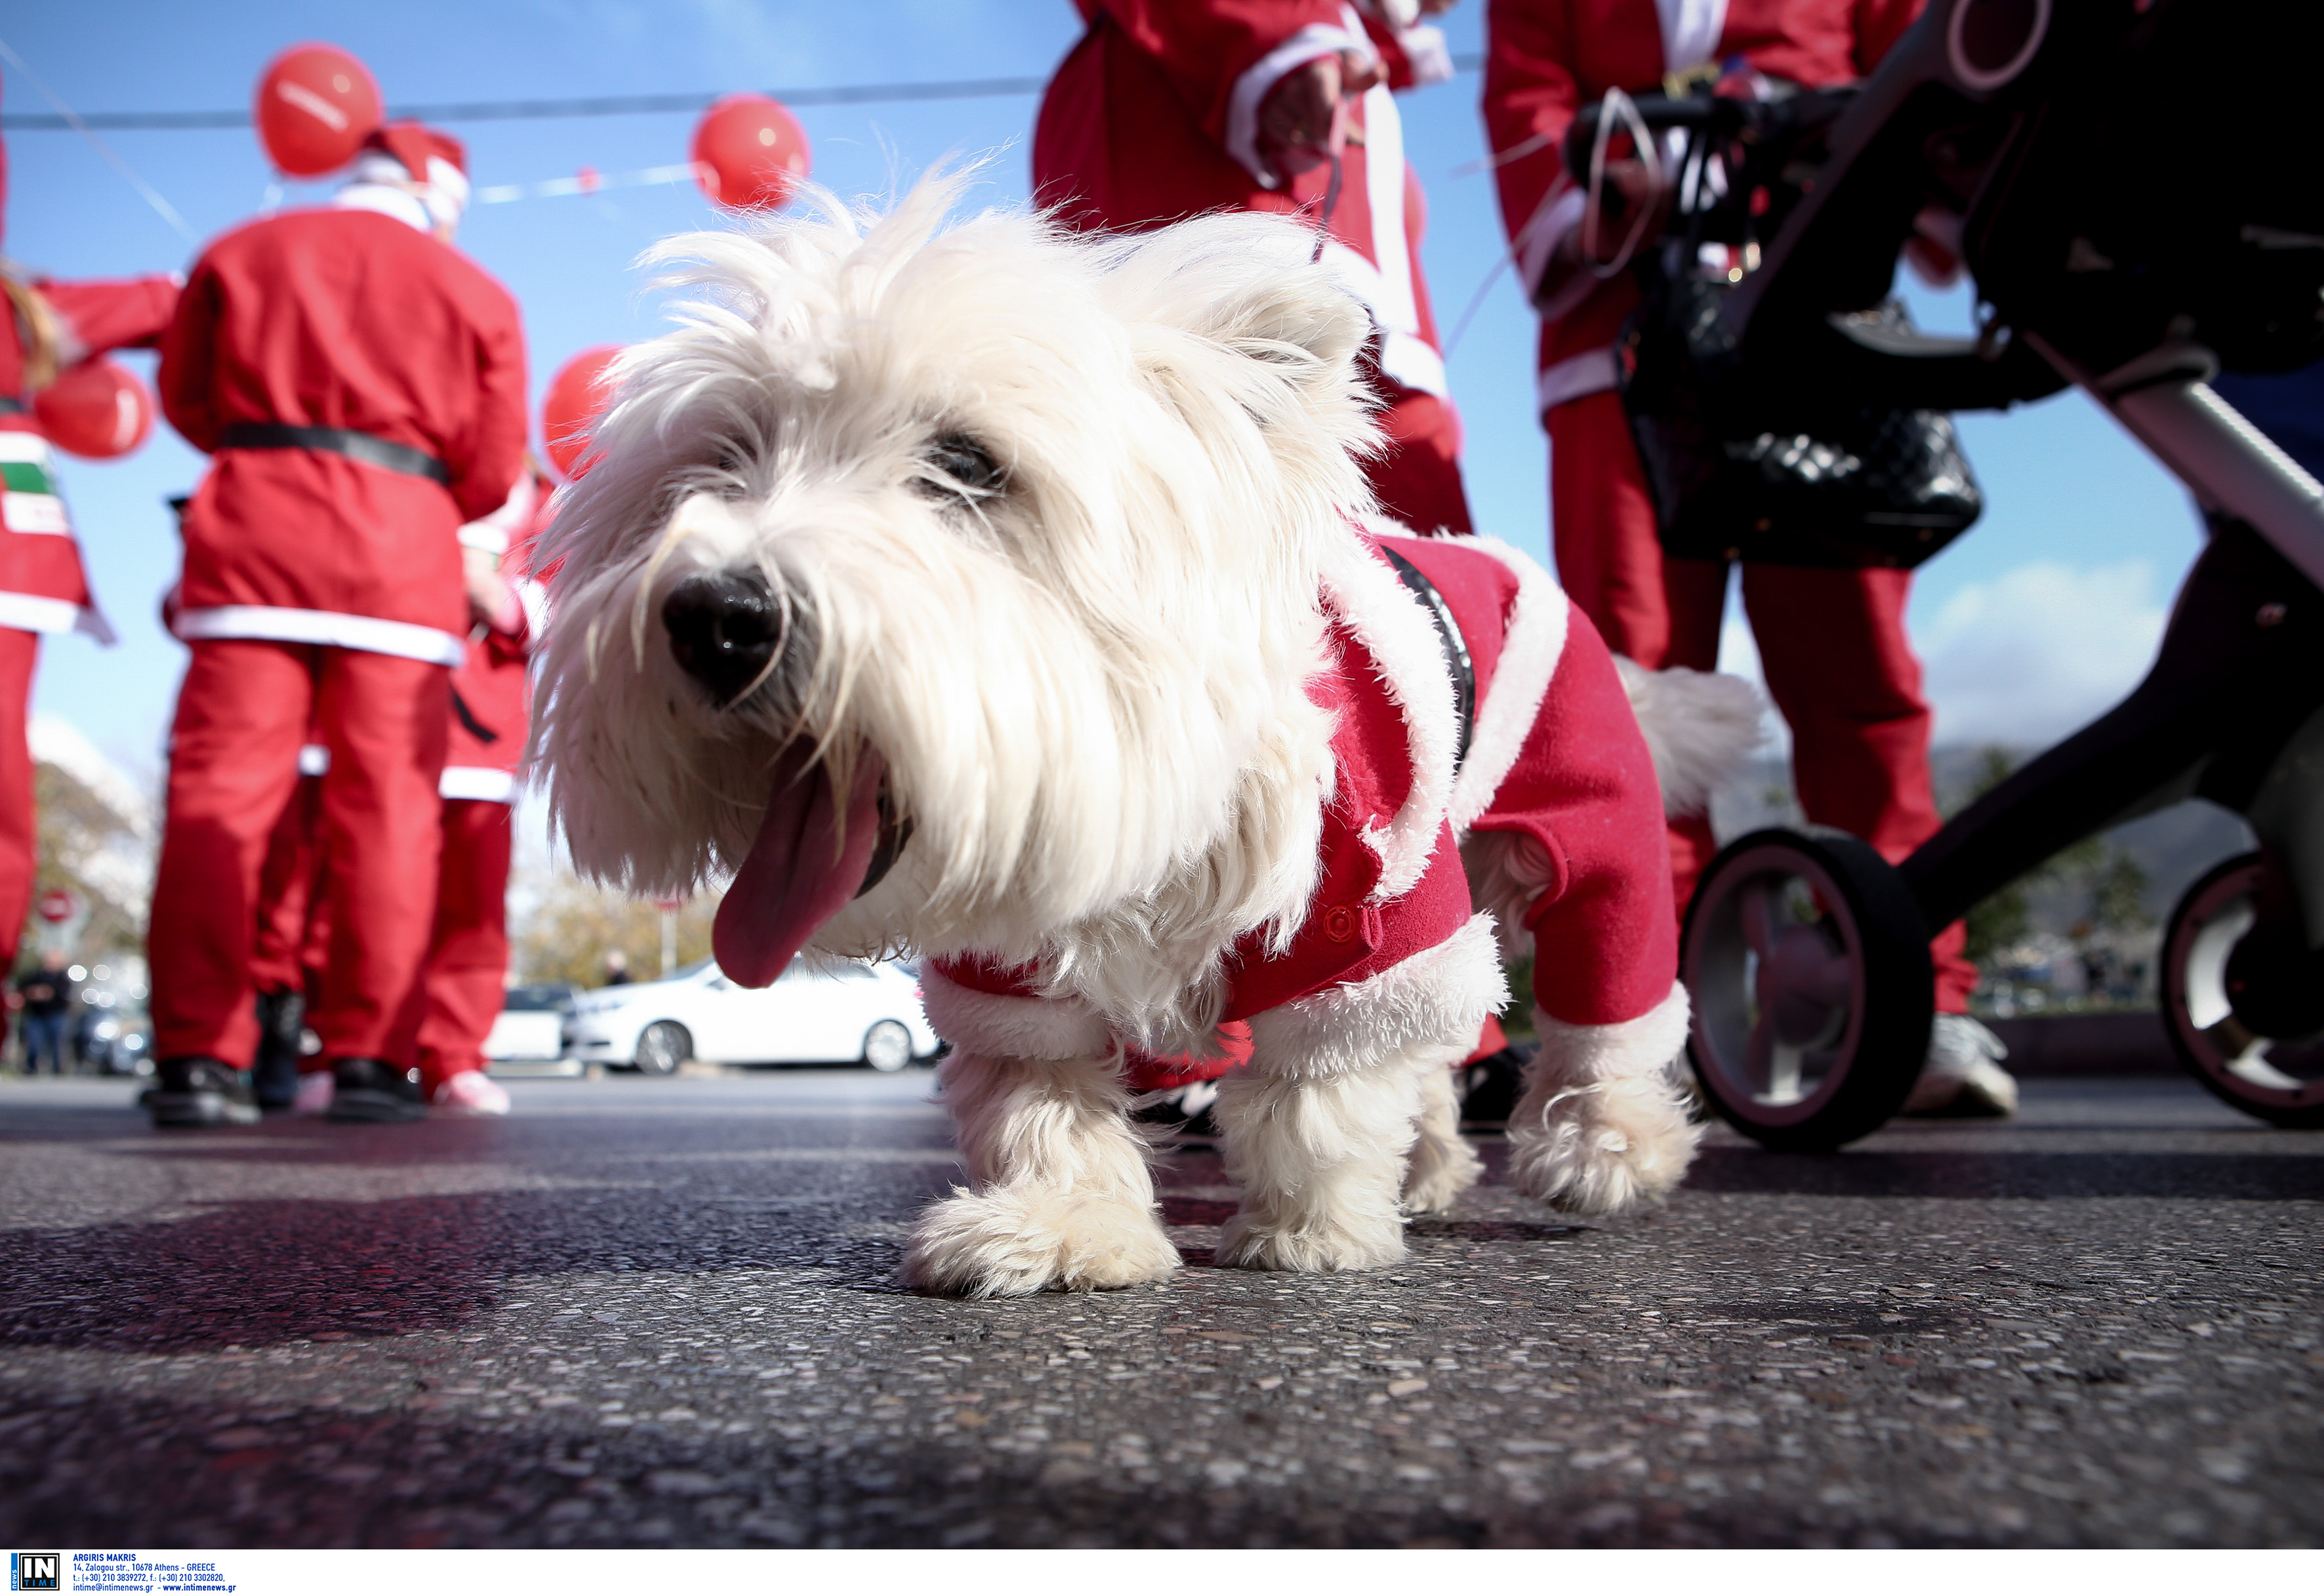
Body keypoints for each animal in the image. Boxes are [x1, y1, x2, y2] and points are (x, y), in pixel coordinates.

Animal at [532, 174, 1757, 1301]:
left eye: (968, 464)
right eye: (721, 458)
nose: (715, 617)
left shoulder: (1368, 932)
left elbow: (1319, 1093)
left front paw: (1310, 1230)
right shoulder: (1011, 956)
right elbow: (1041, 1100)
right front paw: (1062, 1226)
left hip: (1590, 832)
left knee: (1610, 995)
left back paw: (1606, 1148)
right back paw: (1435, 1168)